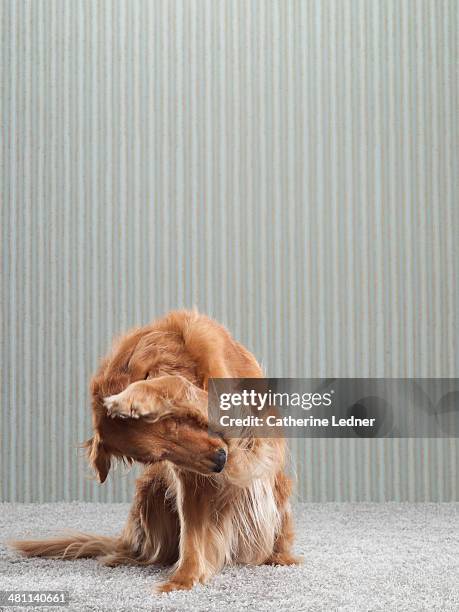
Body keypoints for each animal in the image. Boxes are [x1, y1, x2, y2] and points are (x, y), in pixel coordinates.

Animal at [10, 314, 300, 592]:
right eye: (157, 457)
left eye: (176, 421)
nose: (220, 462)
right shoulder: (191, 478)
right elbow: (192, 531)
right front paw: (185, 579)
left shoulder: (249, 443)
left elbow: (177, 383)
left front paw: (135, 396)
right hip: (152, 488)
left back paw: (279, 558)